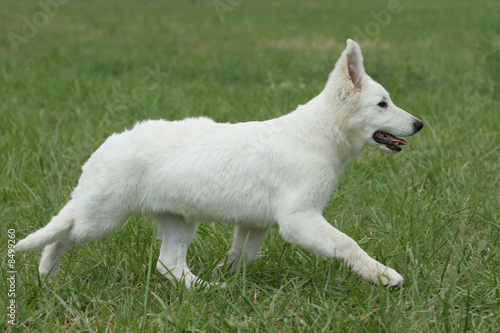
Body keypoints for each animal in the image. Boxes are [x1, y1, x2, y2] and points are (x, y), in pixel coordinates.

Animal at [15, 39, 422, 288]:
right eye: (382, 104)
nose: (419, 124)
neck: (319, 134)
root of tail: (106, 146)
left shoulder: (255, 223)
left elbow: (243, 256)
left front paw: (229, 277)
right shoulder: (298, 219)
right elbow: (347, 244)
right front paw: (383, 276)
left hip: (178, 219)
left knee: (169, 264)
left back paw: (206, 288)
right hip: (102, 217)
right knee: (64, 231)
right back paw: (45, 273)